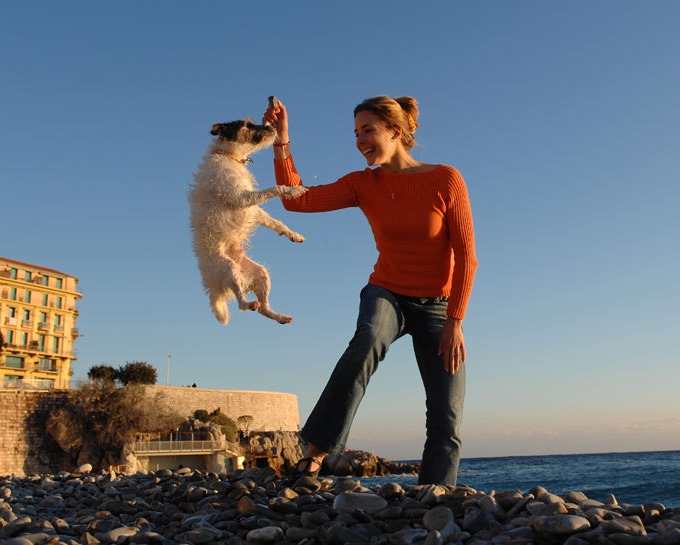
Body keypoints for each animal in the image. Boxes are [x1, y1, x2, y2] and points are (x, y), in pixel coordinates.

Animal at [191, 119, 308, 324]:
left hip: (261, 274)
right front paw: (293, 190)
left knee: (263, 309)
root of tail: (213, 287)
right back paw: (249, 303)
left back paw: (280, 317)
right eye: (248, 124)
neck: (229, 155)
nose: (272, 126)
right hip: (228, 269)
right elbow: (275, 188)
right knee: (241, 303)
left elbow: (276, 223)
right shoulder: (241, 198)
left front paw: (293, 234)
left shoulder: (253, 209)